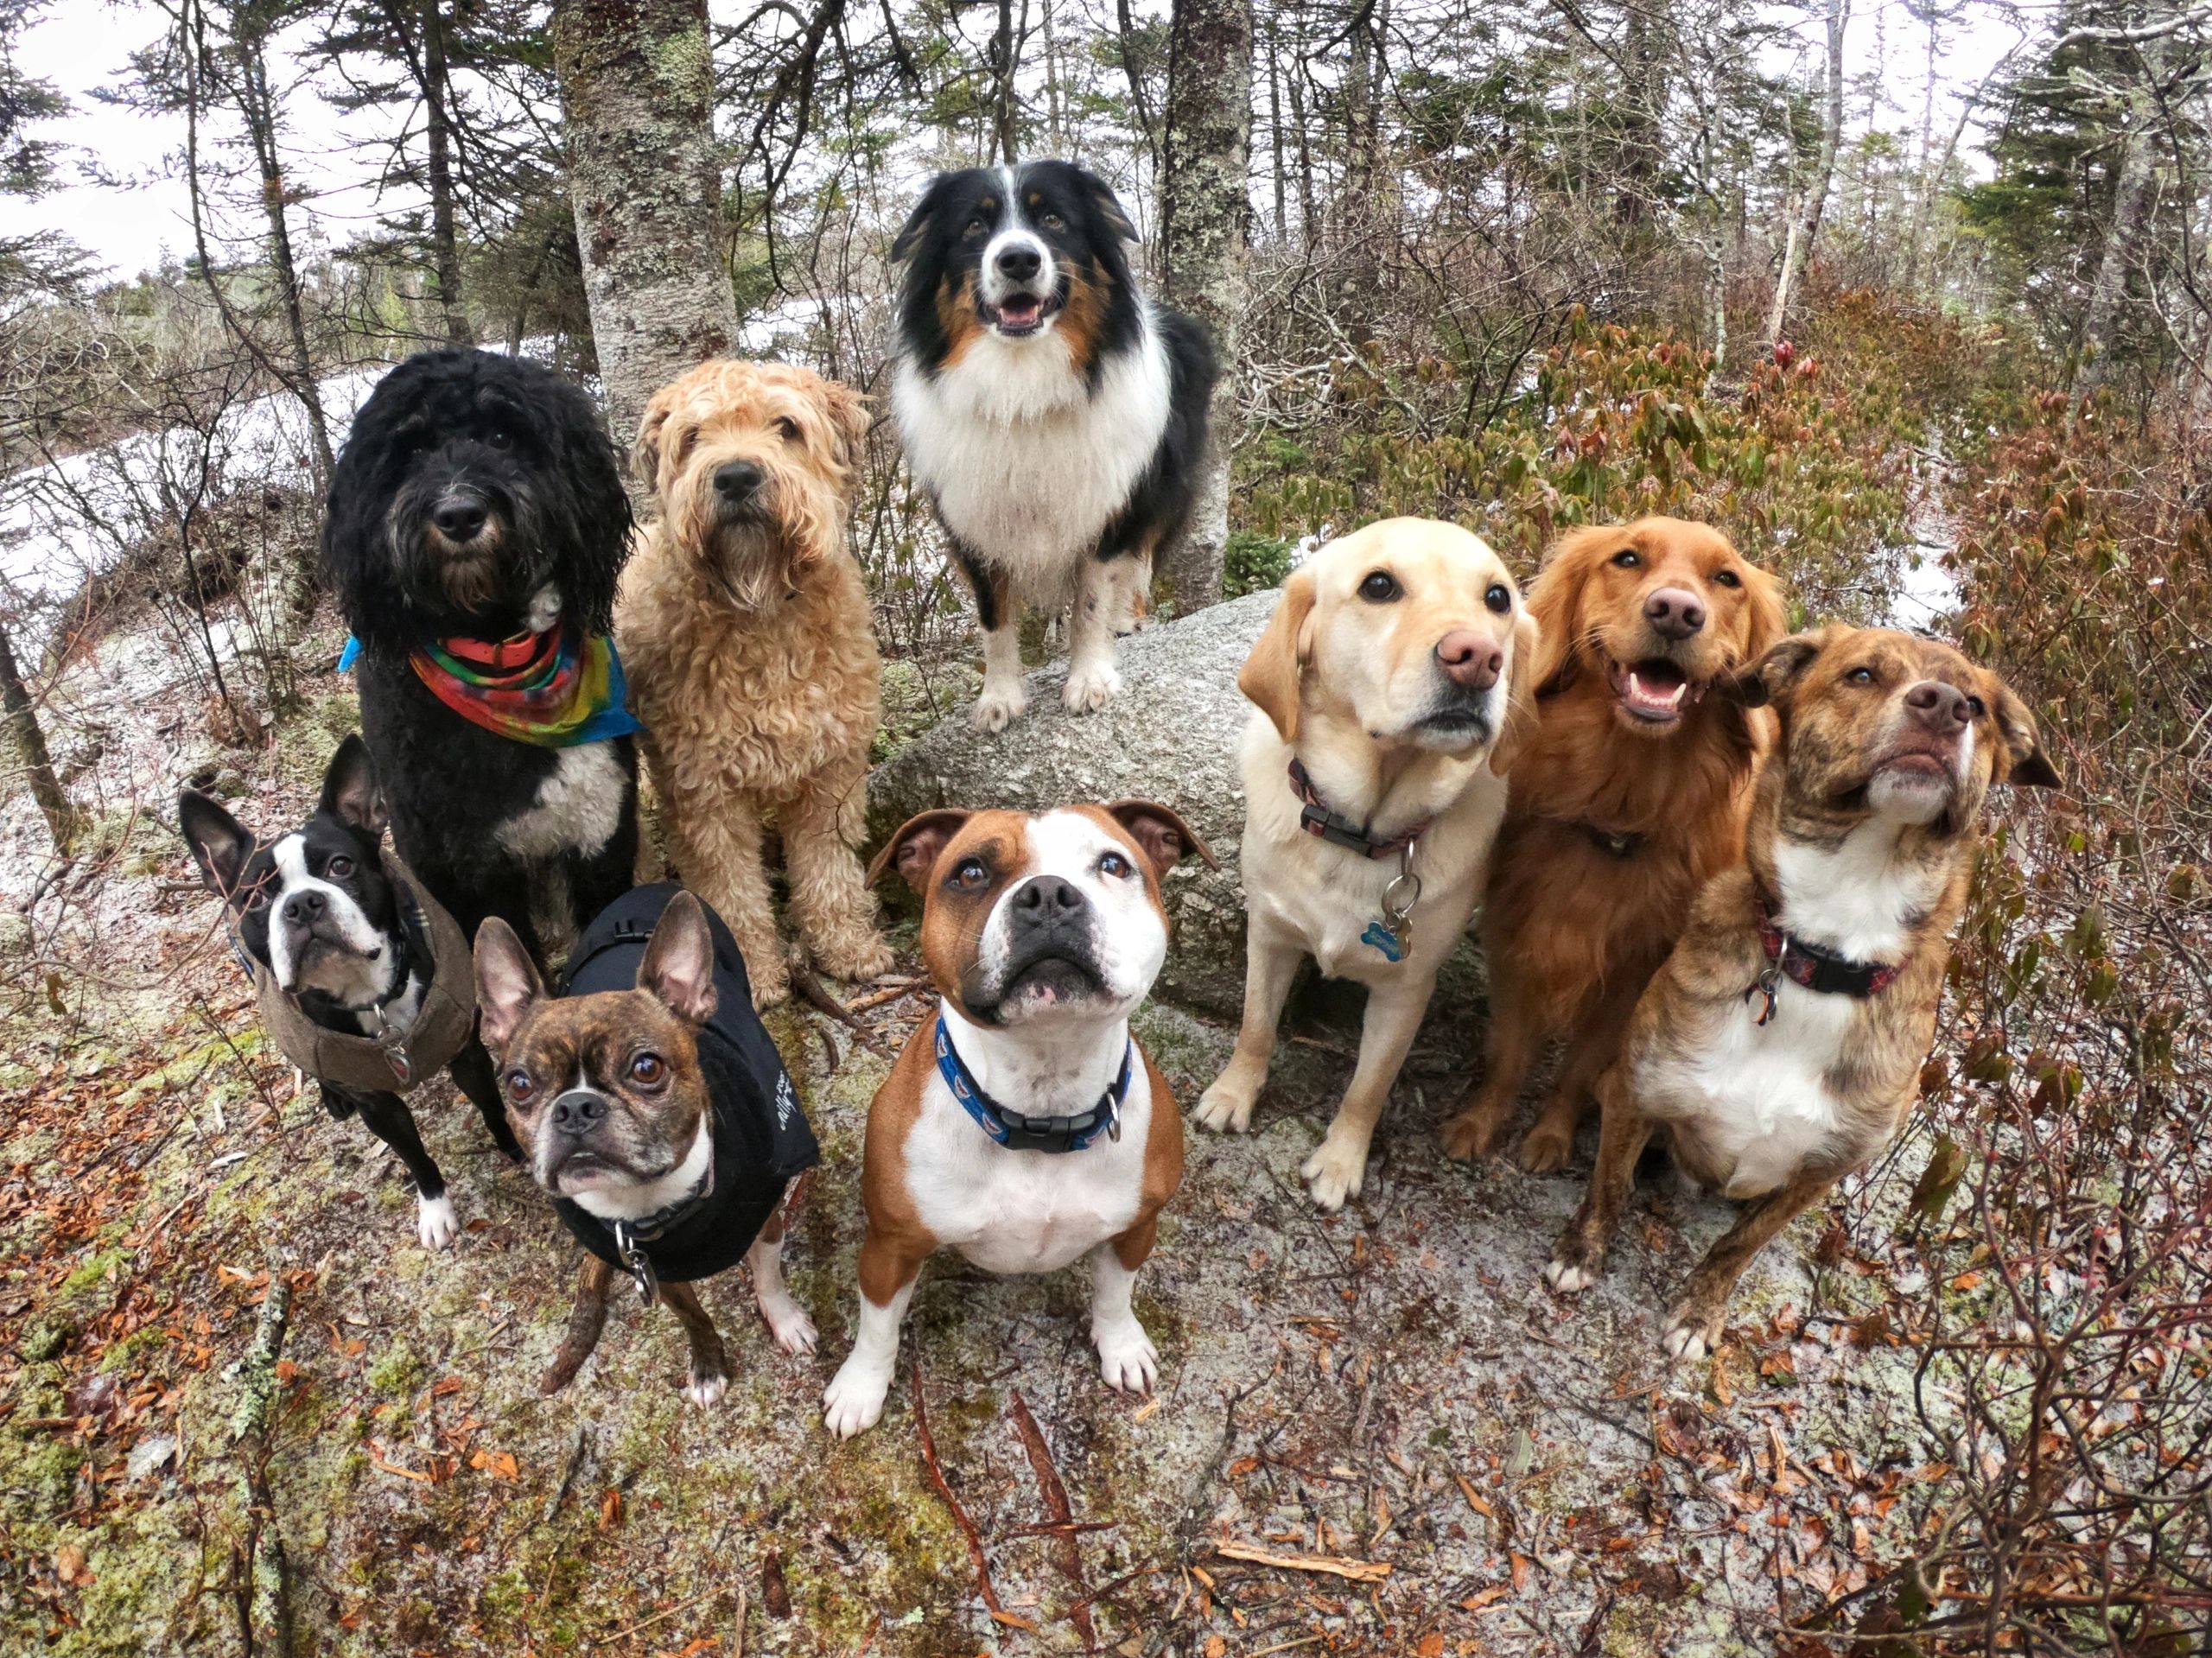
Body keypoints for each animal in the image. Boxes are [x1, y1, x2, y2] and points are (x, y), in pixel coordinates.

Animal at [614, 362, 889, 1007]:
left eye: (786, 425)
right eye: (693, 437)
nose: (736, 476)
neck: (761, 614)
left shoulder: (831, 774)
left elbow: (828, 869)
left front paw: (845, 947)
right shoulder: (704, 794)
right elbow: (731, 893)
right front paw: (753, 973)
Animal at [823, 804, 1211, 1441]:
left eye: (1113, 864)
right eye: (971, 871)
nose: (1049, 894)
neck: (1041, 1111)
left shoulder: (1136, 1226)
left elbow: (1115, 1294)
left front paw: (1122, 1345)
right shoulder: (891, 1246)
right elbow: (877, 1325)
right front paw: (861, 1387)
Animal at [1539, 627, 2052, 1352]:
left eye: (1977, 706)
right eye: (1861, 674)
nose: (1945, 707)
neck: (1824, 953)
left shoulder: (1820, 1170)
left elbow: (1739, 1245)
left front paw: (1698, 1311)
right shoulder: (1639, 1090)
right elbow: (1607, 1187)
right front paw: (1580, 1253)